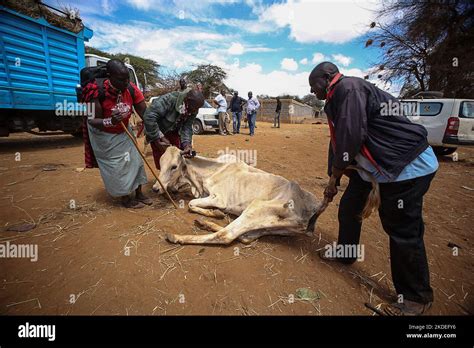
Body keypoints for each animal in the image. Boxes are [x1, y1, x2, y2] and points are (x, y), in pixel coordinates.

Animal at [154, 146, 380, 245]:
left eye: (174, 166)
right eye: (160, 163)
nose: (156, 188)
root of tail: (313, 209)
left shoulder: (219, 198)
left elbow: (192, 203)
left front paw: (216, 213)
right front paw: (215, 215)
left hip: (256, 207)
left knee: (228, 236)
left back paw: (178, 236)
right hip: (273, 226)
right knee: (244, 237)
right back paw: (205, 223)